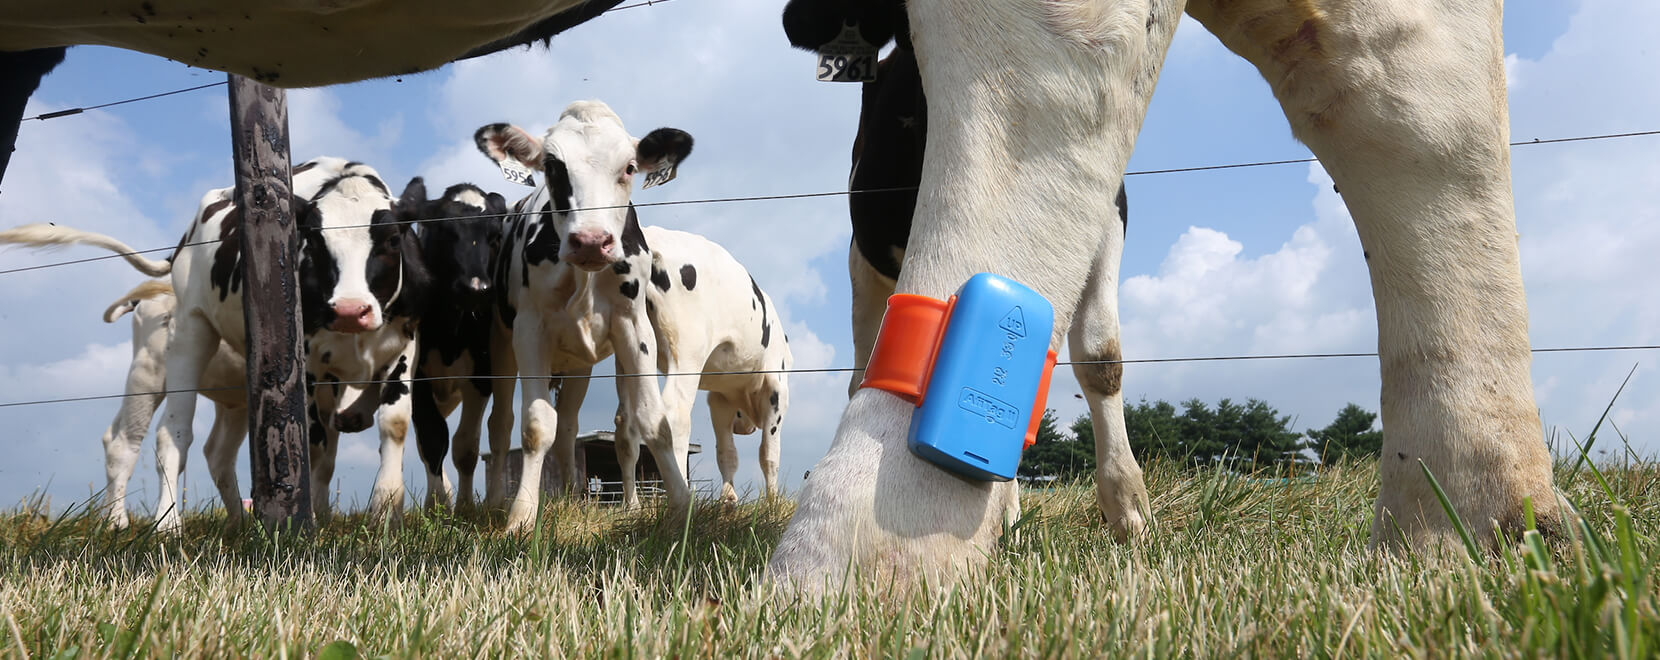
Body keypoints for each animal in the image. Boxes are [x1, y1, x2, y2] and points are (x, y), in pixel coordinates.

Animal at [403, 179, 511, 510]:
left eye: (494, 235)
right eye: (444, 231)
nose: (476, 288)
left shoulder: (481, 374)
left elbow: (466, 447)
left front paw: (464, 507)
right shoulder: (418, 377)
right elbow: (432, 437)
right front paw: (437, 504)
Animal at [474, 99, 693, 530]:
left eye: (629, 167)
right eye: (552, 165)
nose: (591, 240)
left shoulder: (633, 326)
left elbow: (652, 420)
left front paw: (680, 508)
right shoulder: (529, 330)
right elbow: (535, 425)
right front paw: (521, 517)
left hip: (578, 366)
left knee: (570, 429)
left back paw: (574, 499)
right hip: (500, 343)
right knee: (500, 424)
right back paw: (495, 502)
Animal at [630, 227, 793, 504]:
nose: (742, 427)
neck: (741, 392)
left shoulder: (719, 399)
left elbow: (727, 454)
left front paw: (728, 500)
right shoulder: (776, 389)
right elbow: (769, 454)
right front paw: (773, 503)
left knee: (627, 425)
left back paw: (631, 505)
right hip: (687, 350)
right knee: (673, 415)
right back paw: (682, 496)